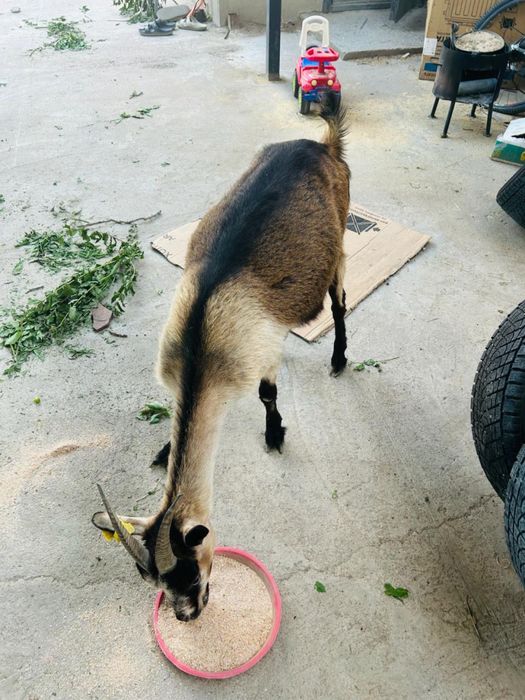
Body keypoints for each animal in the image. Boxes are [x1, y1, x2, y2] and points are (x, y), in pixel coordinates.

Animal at [92, 105, 350, 621]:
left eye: (189, 573)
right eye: (150, 579)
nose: (185, 615)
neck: (200, 349)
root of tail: (322, 144)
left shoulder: (259, 355)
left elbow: (268, 394)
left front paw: (275, 434)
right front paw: (165, 450)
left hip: (341, 240)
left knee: (338, 302)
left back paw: (339, 358)